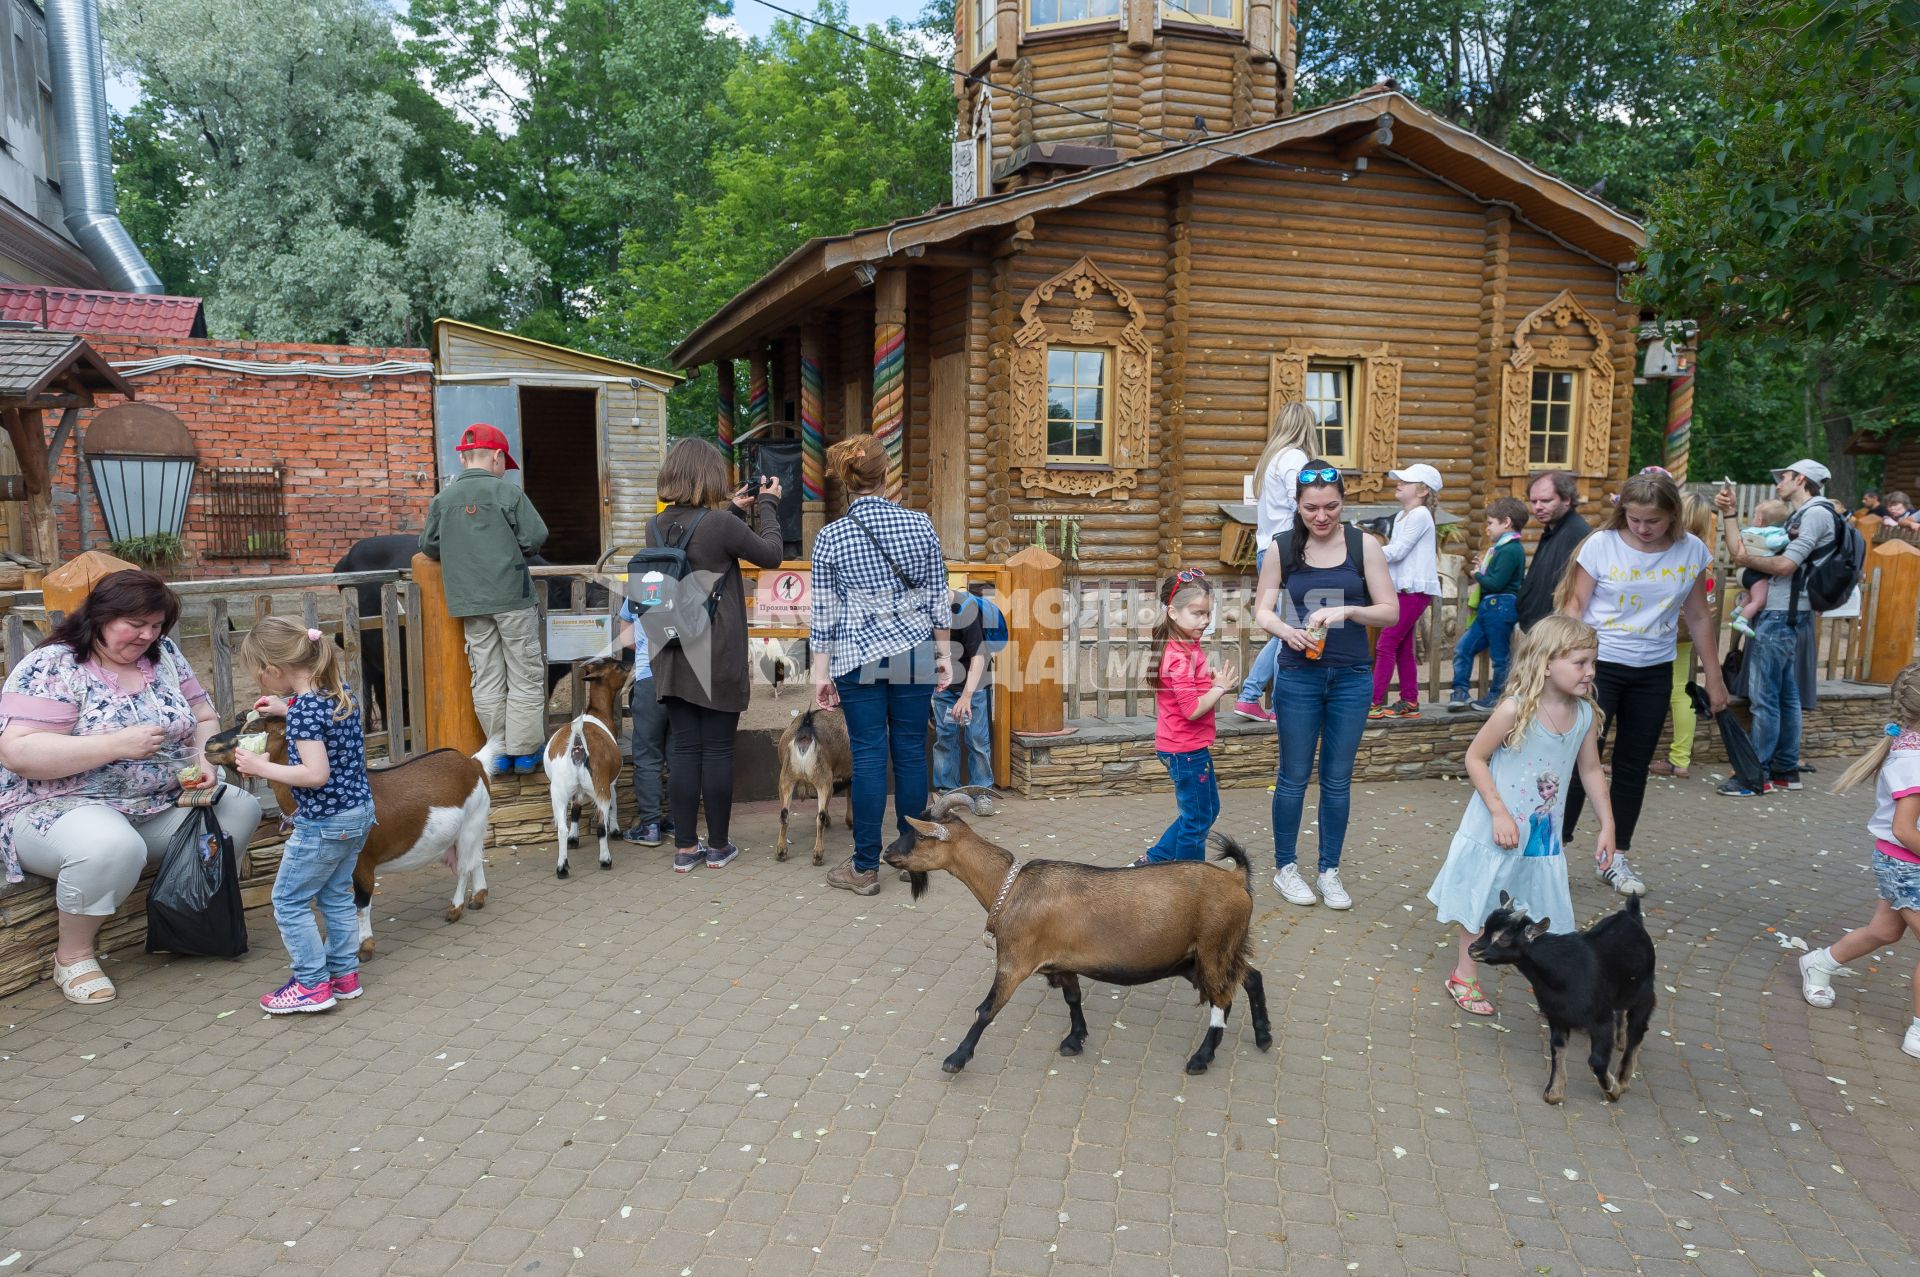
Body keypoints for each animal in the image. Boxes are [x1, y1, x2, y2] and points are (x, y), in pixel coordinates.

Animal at [545, 656, 625, 875]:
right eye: (618, 667)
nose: (629, 665)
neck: (597, 713)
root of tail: (578, 744)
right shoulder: (610, 781)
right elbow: (615, 803)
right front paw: (616, 830)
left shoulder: (577, 791)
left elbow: (576, 809)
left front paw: (574, 838)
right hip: (600, 787)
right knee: (600, 827)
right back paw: (605, 860)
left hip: (559, 791)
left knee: (561, 828)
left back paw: (562, 867)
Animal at [775, 706, 852, 867]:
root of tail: (806, 731)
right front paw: (850, 822)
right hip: (823, 780)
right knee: (820, 816)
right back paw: (818, 854)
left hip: (786, 778)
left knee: (784, 813)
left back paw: (781, 851)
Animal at [879, 798, 1267, 1075]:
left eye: (918, 835)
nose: (886, 853)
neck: (1011, 886)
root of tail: (1236, 879)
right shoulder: (1061, 961)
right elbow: (1072, 998)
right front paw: (1075, 1039)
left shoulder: (1015, 961)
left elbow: (986, 1010)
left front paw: (956, 1058)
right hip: (1203, 955)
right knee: (1250, 977)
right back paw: (1263, 1035)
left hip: (1213, 949)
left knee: (1222, 998)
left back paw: (1202, 1058)